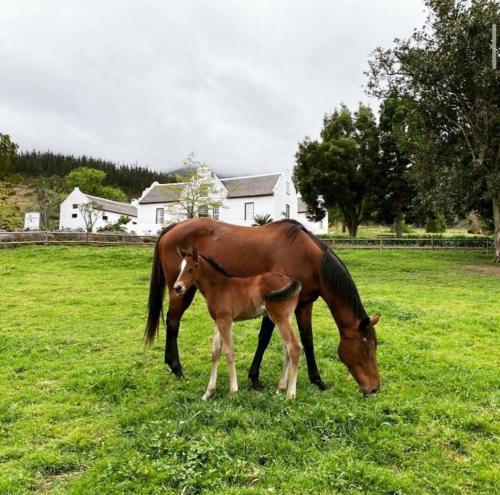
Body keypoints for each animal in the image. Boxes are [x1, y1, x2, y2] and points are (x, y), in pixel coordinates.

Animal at [174, 248, 302, 400]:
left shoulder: (226, 320)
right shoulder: (218, 321)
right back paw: (280, 388)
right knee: (287, 349)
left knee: (294, 347)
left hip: (280, 318)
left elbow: (229, 352)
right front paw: (208, 393)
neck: (218, 287)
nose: (177, 287)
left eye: (191, 269)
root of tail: (290, 280)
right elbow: (215, 352)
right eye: (180, 268)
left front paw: (233, 391)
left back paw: (290, 395)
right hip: (285, 318)